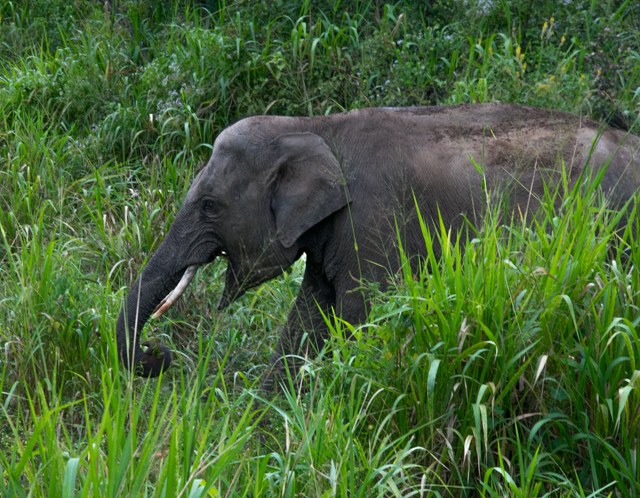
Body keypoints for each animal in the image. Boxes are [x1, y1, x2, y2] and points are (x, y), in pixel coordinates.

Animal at [115, 103, 640, 392]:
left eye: (209, 206)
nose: (160, 355)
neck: (316, 126)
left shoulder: (375, 220)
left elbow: (359, 317)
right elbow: (307, 321)